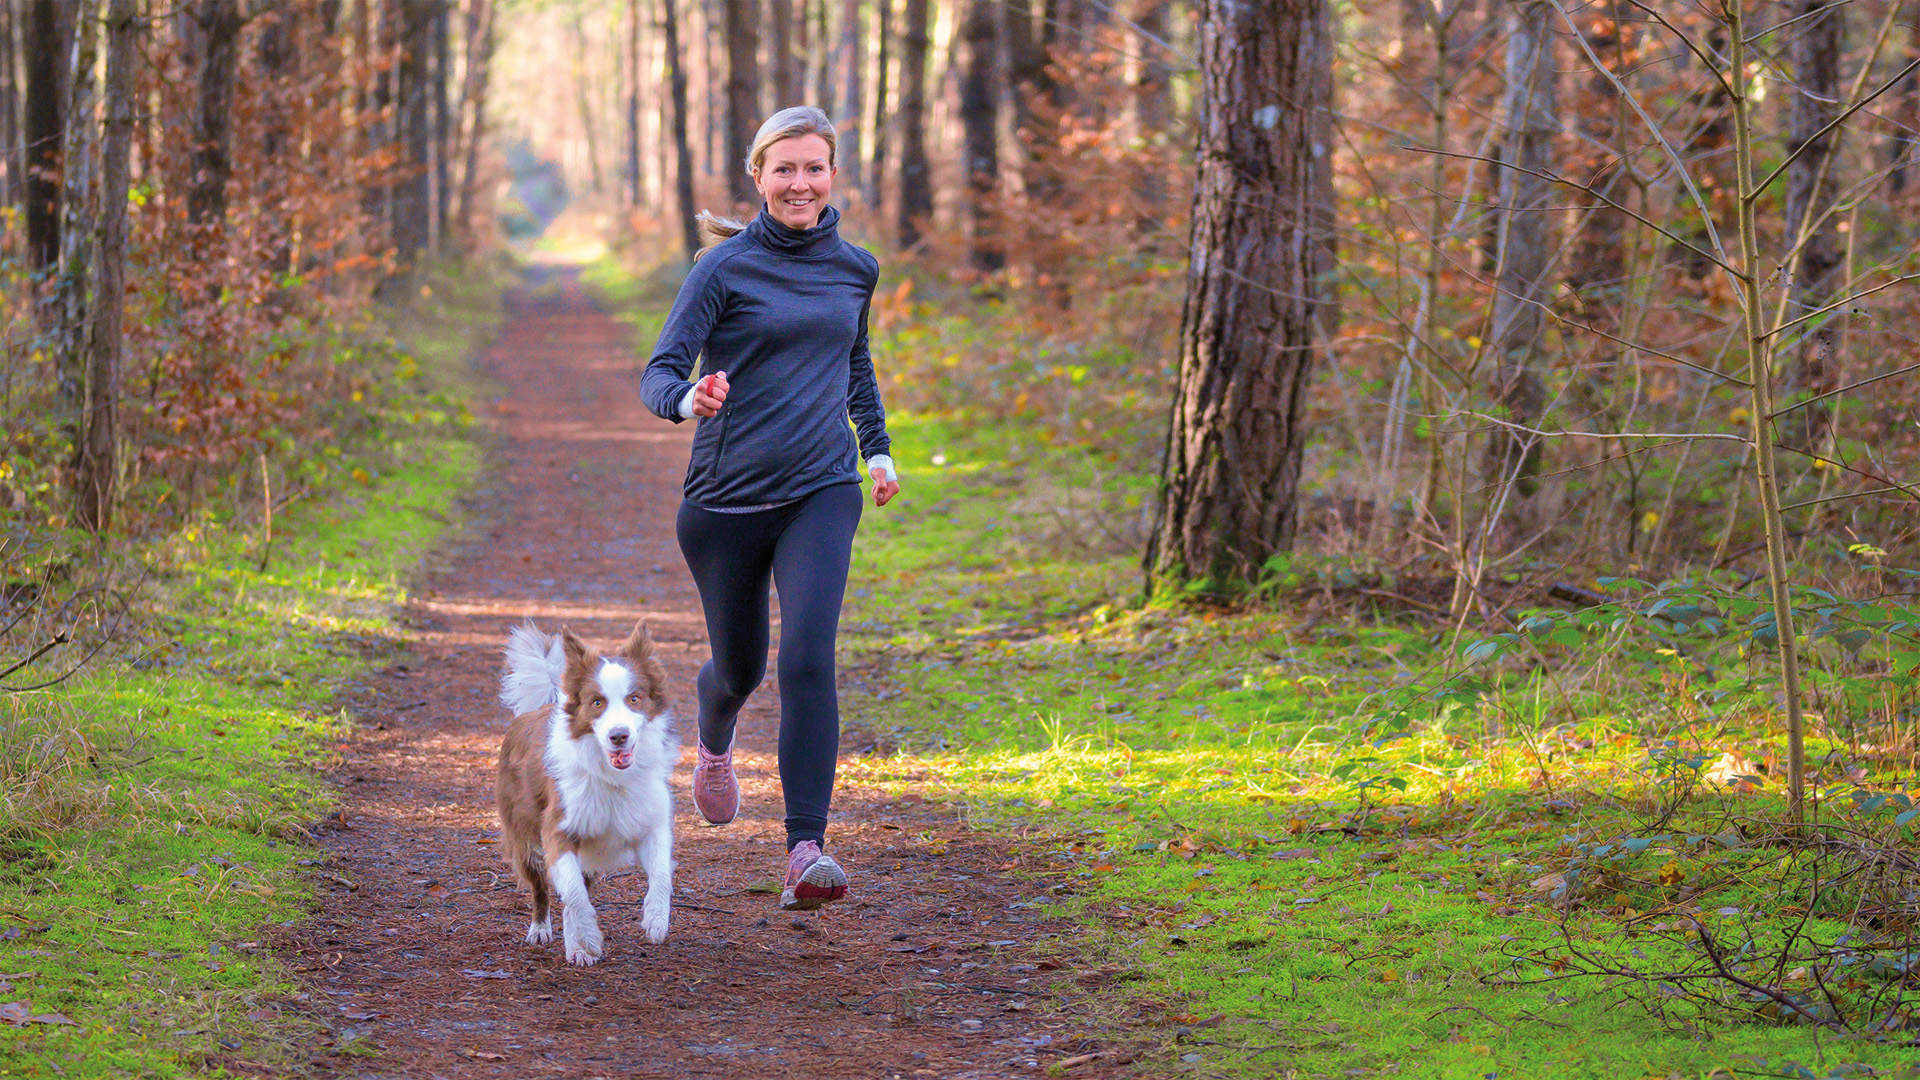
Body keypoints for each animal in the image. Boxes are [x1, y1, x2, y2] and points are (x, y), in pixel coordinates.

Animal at [499, 618, 679, 960]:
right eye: (597, 703)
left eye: (634, 698)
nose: (619, 736)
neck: (611, 777)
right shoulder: (558, 829)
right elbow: (572, 893)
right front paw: (588, 937)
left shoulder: (649, 823)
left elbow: (662, 874)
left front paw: (656, 919)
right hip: (526, 835)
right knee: (542, 888)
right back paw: (544, 931)